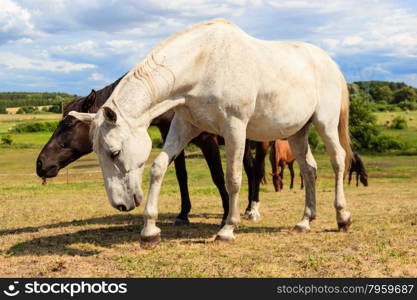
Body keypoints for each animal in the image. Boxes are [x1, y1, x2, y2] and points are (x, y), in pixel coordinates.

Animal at [70, 18, 352, 246]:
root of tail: (329, 62)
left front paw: (227, 229)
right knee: (309, 169)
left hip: (325, 124)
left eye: (114, 152)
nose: (121, 205)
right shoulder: (184, 126)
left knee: (338, 160)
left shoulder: (234, 128)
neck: (205, 63)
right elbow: (159, 167)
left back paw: (342, 217)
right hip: (297, 132)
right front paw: (150, 231)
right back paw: (305, 221)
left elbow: (233, 178)